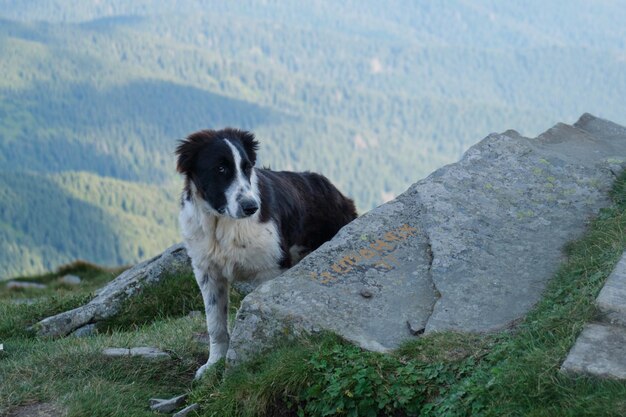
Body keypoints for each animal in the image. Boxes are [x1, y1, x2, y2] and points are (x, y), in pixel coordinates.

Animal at [176, 127, 356, 376]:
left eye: (246, 167)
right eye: (221, 169)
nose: (251, 207)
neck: (222, 223)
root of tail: (338, 193)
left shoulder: (270, 269)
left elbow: (260, 316)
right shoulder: (207, 271)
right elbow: (215, 324)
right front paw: (212, 366)